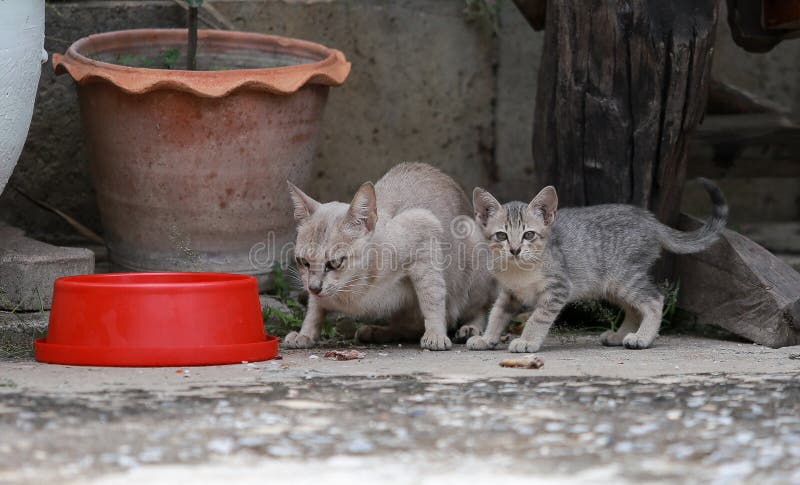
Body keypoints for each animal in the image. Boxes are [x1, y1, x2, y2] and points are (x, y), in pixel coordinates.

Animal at [282, 162, 494, 348]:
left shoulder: (424, 233)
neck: (353, 291)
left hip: (474, 255)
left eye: (334, 263)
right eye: (303, 262)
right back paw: (378, 332)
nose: (314, 287)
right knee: (409, 327)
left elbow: (432, 299)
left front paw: (436, 335)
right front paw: (305, 334)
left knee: (479, 309)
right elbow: (315, 309)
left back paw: (470, 328)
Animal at [468, 179, 724, 352]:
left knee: (654, 299)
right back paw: (621, 335)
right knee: (634, 308)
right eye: (501, 236)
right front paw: (488, 337)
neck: (520, 271)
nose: (514, 250)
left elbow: (538, 317)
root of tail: (650, 220)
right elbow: (497, 314)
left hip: (624, 277)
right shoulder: (509, 293)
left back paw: (642, 337)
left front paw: (528, 340)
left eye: (529, 234)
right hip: (610, 285)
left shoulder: (558, 288)